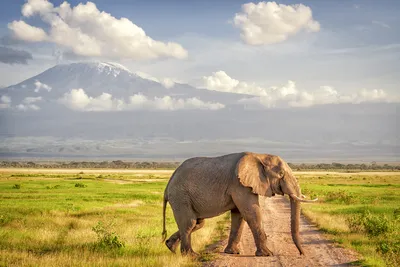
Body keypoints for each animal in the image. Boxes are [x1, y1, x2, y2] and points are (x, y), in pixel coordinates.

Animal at [161, 152, 318, 256]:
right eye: (280, 174)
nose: (302, 254)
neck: (259, 156)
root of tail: (168, 185)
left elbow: (239, 216)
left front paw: (232, 252)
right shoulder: (240, 184)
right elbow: (251, 213)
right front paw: (268, 254)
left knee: (198, 223)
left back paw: (170, 248)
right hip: (180, 197)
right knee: (190, 223)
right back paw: (191, 255)